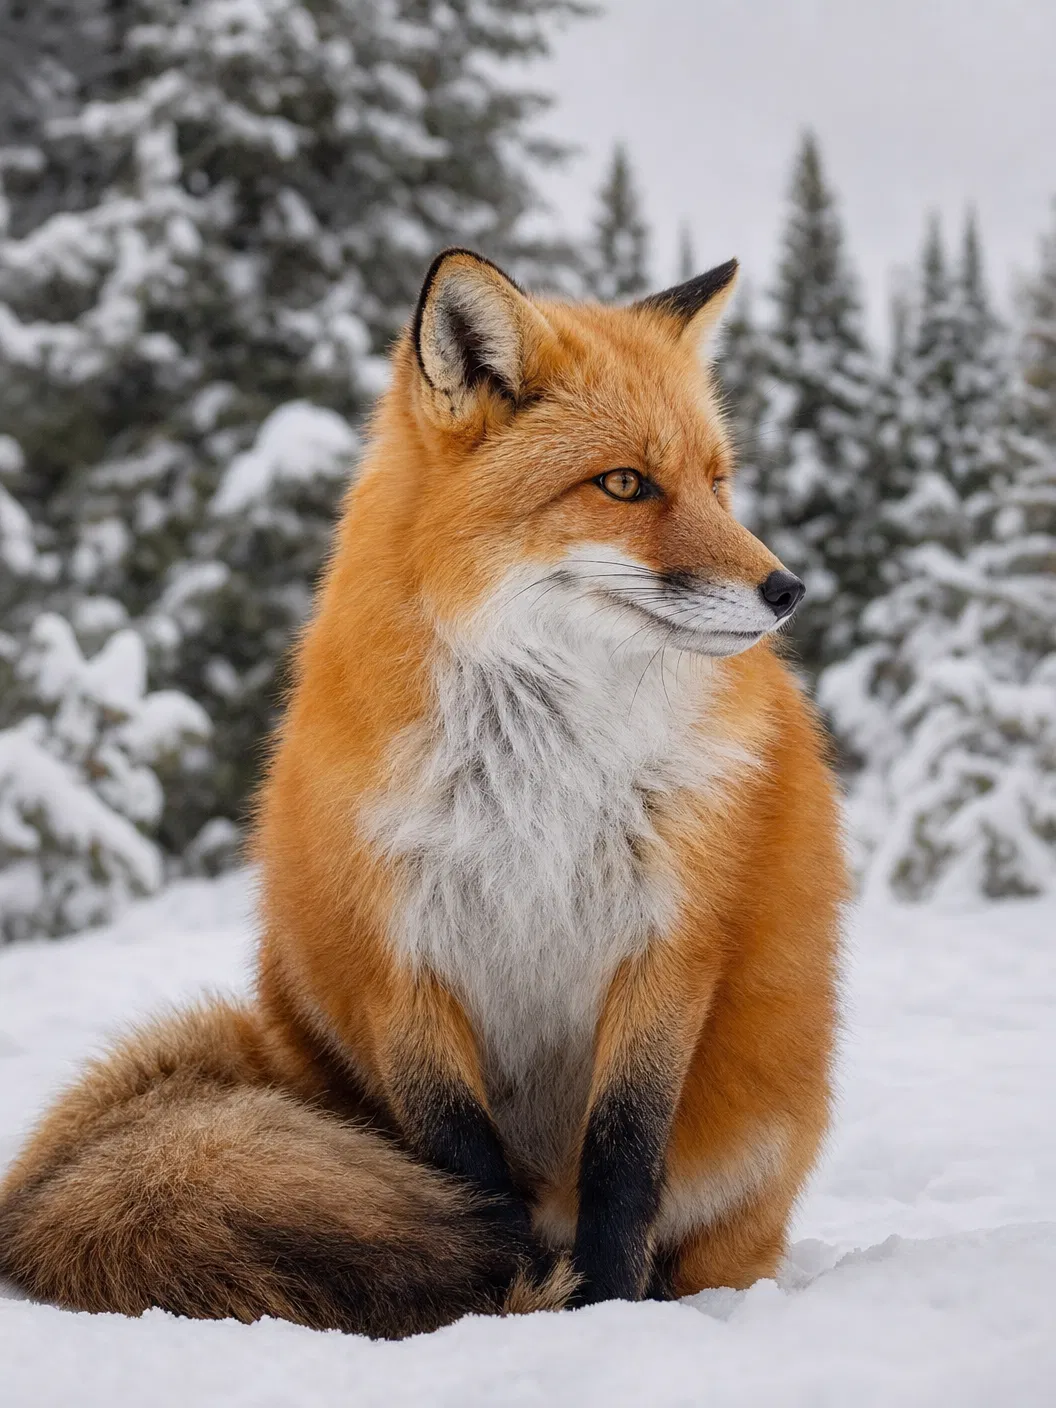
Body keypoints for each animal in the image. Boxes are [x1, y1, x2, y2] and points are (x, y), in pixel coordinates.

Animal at [0, 249, 846, 1338]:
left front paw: (608, 1306)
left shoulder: (671, 945)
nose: (788, 590)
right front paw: (506, 1295)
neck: (538, 776)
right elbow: (468, 1171)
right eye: (624, 484)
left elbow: (623, 1163)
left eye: (716, 481)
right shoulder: (395, 962)